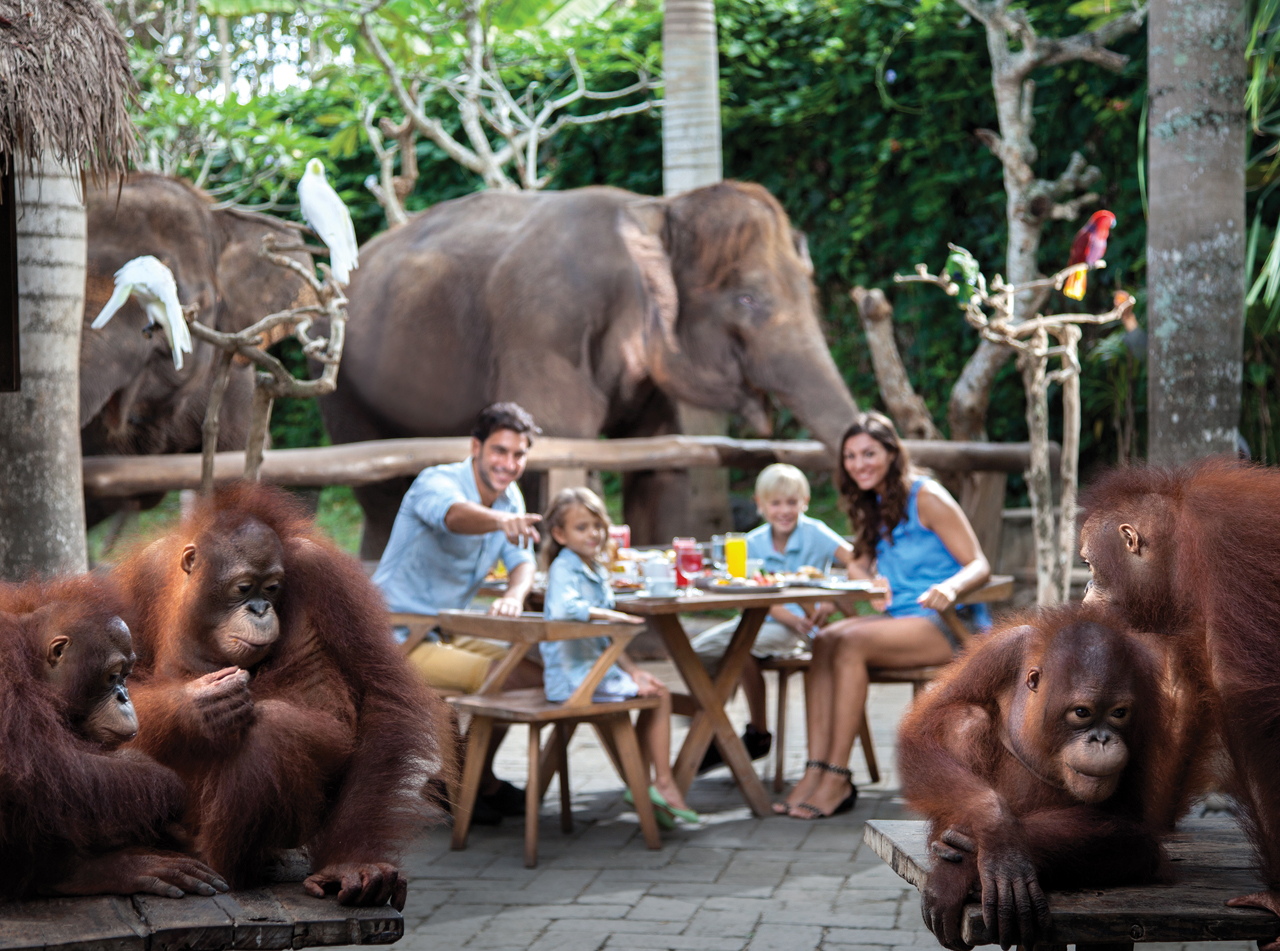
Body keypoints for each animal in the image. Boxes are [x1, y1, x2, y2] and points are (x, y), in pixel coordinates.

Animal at [325, 180, 860, 558]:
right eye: (748, 299)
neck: (654, 208)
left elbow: (656, 464)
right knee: (377, 487)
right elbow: (561, 448)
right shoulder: (544, 324)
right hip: (339, 371)